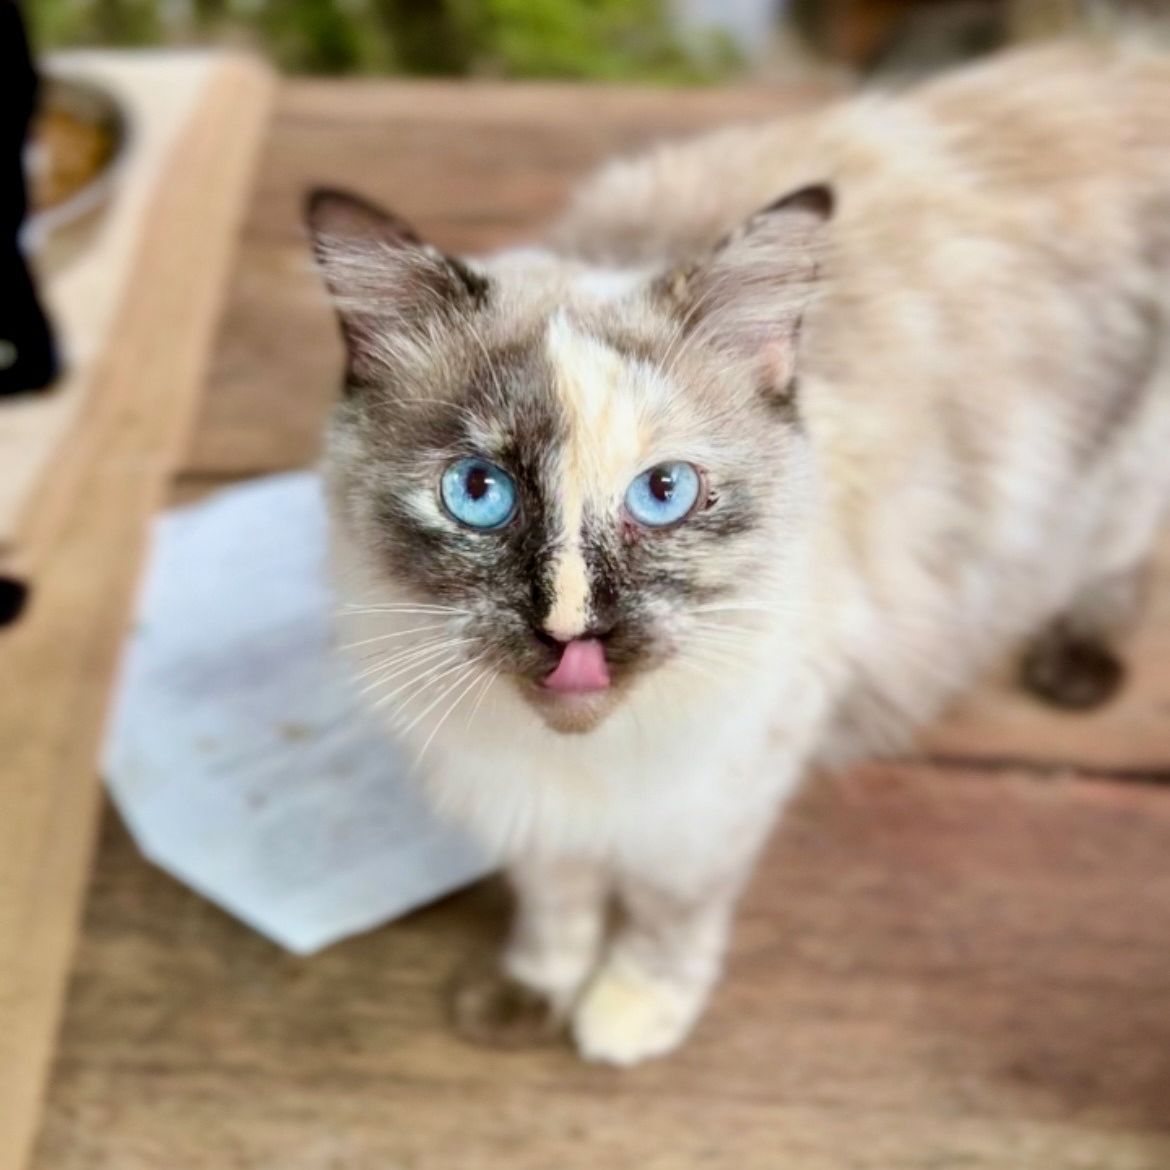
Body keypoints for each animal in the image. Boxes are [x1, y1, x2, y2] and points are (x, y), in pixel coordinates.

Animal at [308, 39, 1170, 1065]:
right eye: (480, 494)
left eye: (664, 494)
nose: (572, 628)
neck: (583, 760)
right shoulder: (532, 805)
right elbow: (556, 905)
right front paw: (534, 992)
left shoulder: (718, 793)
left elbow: (663, 917)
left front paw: (627, 1017)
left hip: (1117, 488)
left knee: (1122, 564)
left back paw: (1075, 665)